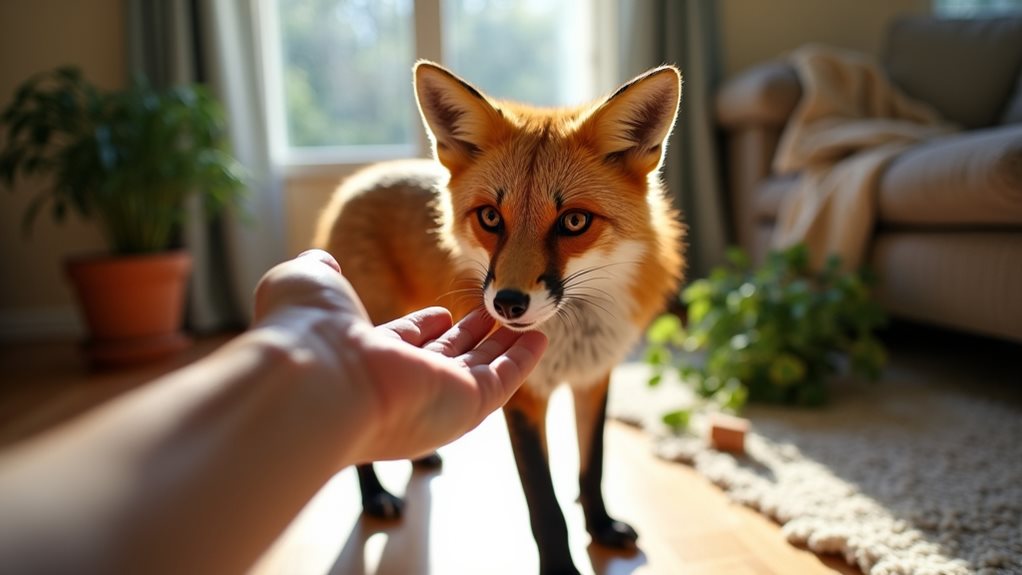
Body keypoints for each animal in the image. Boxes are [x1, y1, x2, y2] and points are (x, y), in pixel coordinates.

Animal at [313, 61, 684, 575]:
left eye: (574, 222)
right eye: (490, 217)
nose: (507, 304)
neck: (572, 335)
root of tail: (356, 181)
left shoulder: (594, 376)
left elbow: (592, 467)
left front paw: (602, 528)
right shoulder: (523, 396)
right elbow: (544, 504)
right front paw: (561, 567)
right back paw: (374, 498)